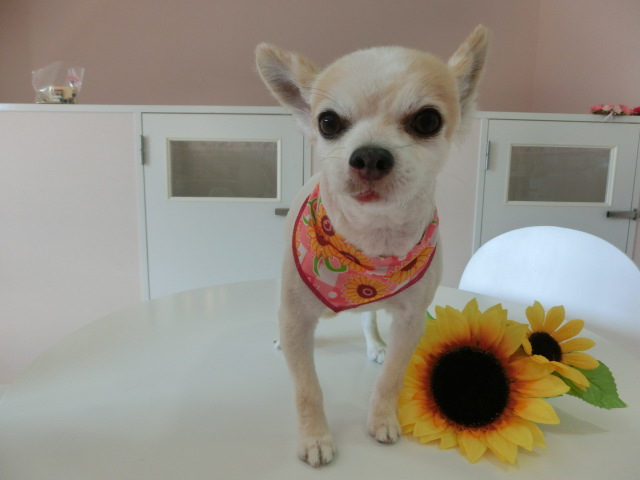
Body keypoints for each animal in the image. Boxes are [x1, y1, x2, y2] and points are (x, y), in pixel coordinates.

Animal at [256, 25, 488, 467]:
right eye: (328, 122)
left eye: (427, 120)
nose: (369, 156)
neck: (369, 242)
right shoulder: (296, 321)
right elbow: (307, 389)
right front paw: (316, 437)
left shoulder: (411, 322)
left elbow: (391, 378)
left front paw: (382, 419)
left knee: (368, 318)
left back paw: (375, 342)